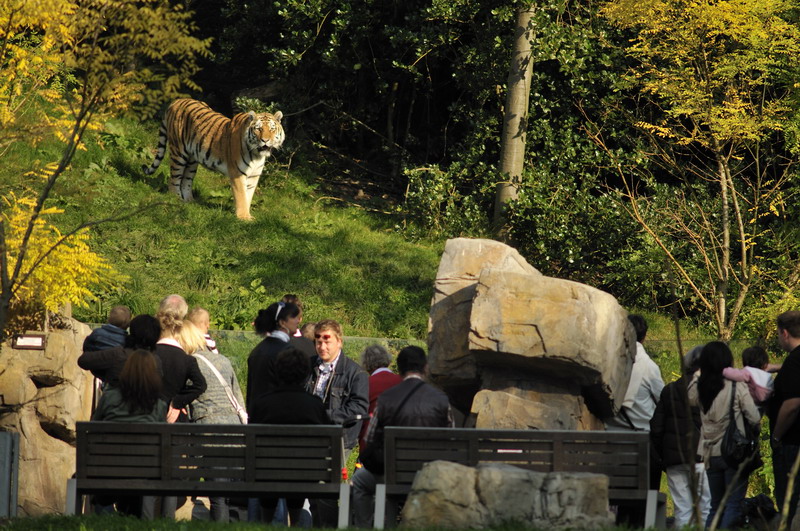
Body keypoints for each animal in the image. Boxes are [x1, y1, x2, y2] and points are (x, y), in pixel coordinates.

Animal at [143, 98, 285, 220]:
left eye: (272, 129)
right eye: (258, 129)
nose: (265, 140)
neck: (256, 155)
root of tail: (176, 101)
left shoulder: (254, 176)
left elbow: (248, 196)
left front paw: (248, 215)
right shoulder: (237, 173)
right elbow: (241, 196)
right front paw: (243, 218)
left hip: (192, 159)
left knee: (186, 180)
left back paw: (190, 202)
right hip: (178, 152)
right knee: (174, 179)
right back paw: (176, 199)